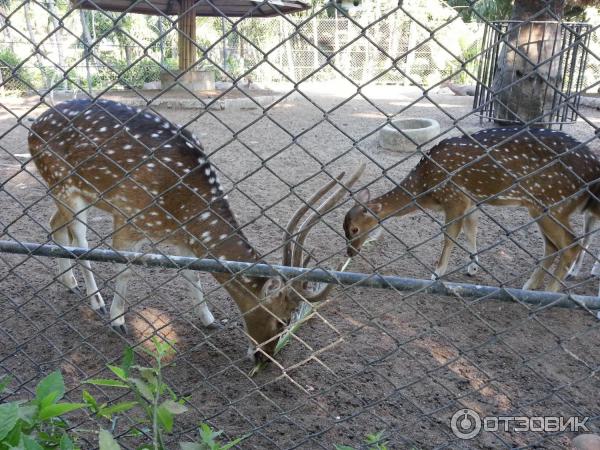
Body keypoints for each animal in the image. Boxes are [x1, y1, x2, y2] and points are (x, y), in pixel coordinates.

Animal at [28, 99, 364, 362]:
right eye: (281, 321)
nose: (264, 358)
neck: (184, 208)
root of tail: (33, 125)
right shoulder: (129, 216)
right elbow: (125, 268)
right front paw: (118, 320)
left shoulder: (181, 237)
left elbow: (192, 273)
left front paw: (209, 319)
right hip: (63, 184)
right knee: (80, 239)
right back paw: (95, 300)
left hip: (69, 192)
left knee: (55, 226)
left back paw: (69, 283)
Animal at [344, 128, 600, 294]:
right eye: (344, 228)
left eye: (354, 229)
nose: (350, 252)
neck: (426, 189)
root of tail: (593, 171)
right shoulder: (471, 202)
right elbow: (471, 231)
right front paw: (473, 267)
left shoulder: (454, 197)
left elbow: (449, 235)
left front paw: (436, 273)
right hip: (542, 208)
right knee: (554, 245)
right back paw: (531, 286)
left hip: (552, 202)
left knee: (571, 243)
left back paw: (551, 292)